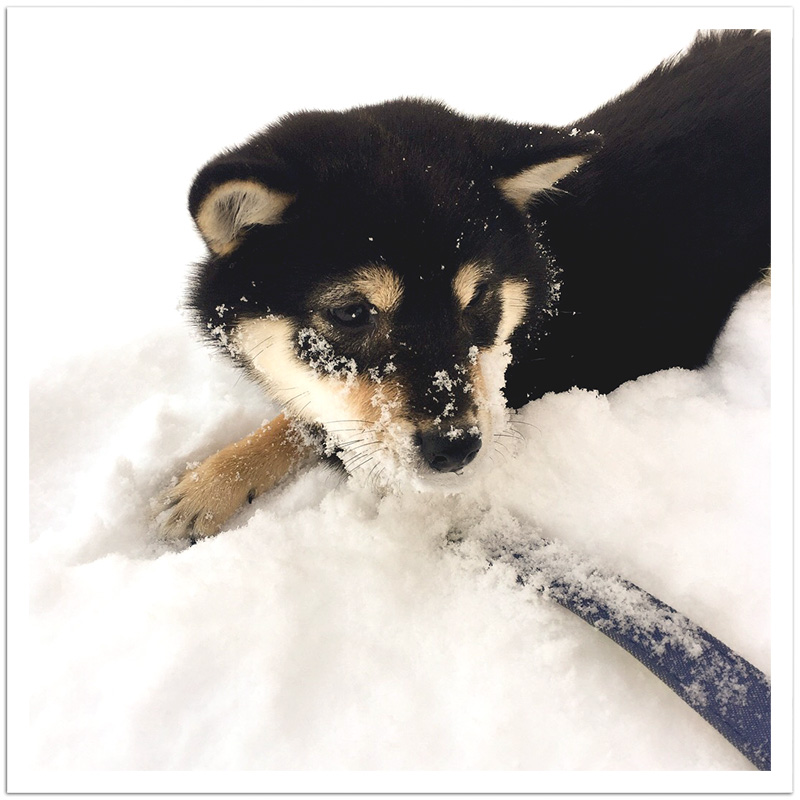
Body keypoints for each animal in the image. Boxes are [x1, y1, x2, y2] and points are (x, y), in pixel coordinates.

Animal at [158, 32, 768, 544]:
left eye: (476, 300)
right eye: (353, 313)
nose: (455, 449)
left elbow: (316, 428)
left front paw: (217, 479)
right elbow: (307, 416)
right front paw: (215, 479)